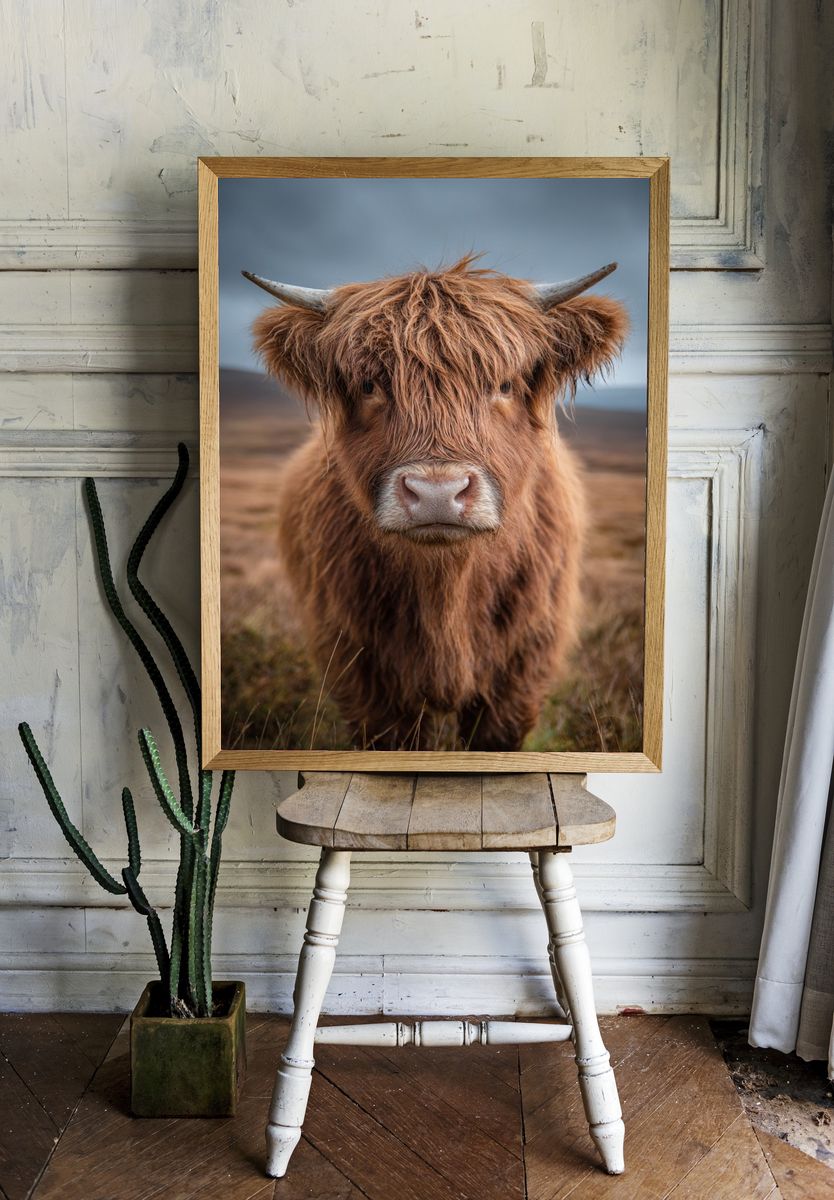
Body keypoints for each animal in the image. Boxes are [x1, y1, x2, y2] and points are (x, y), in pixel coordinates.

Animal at [243, 256, 628, 751]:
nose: (437, 494)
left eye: (505, 384)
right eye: (369, 385)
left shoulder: (525, 665)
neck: (447, 587)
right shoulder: (360, 670)